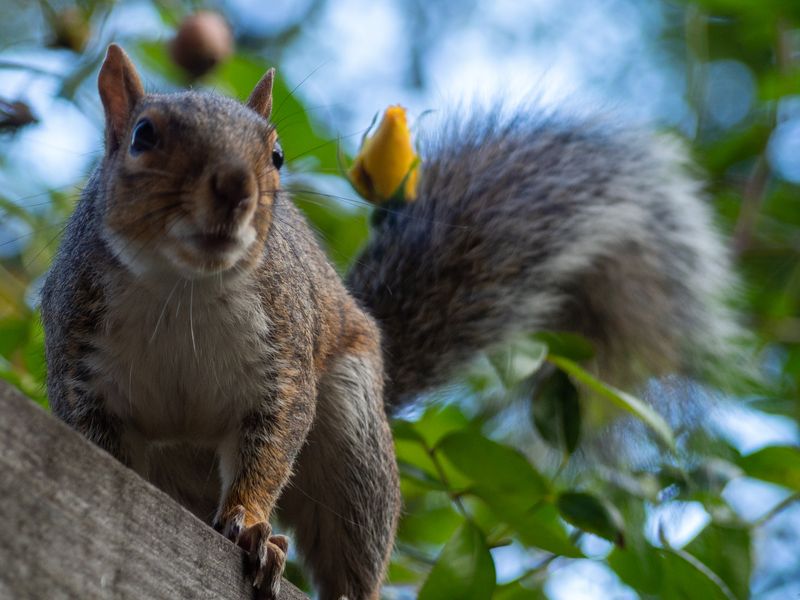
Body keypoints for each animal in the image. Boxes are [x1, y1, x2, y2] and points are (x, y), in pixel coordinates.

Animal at [40, 45, 732, 600]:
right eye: (143, 135)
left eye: (277, 154)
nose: (236, 187)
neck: (181, 288)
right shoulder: (79, 363)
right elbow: (98, 440)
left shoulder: (285, 360)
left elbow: (271, 445)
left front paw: (251, 525)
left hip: (352, 441)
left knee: (352, 547)